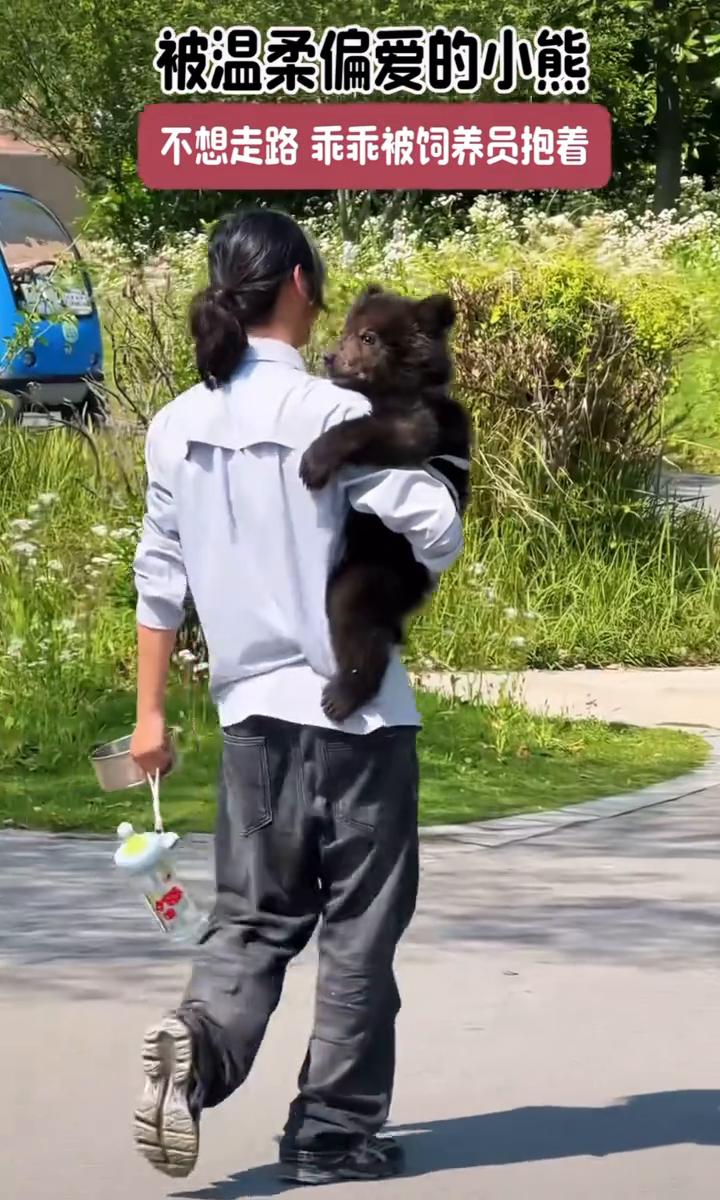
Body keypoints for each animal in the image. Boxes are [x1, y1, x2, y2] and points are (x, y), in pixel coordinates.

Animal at [299, 285, 471, 722]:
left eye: (369, 337)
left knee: (352, 611)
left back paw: (343, 694)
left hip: (381, 565)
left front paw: (314, 461)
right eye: (348, 329)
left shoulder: (425, 420)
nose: (330, 356)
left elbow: (389, 431)